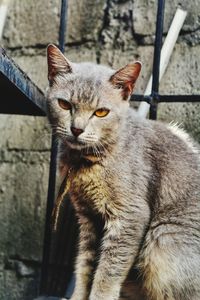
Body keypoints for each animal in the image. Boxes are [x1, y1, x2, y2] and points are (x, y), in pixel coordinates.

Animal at [46, 42, 200, 300]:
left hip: (162, 240)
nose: (77, 129)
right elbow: (85, 267)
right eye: (65, 104)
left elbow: (107, 273)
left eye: (101, 112)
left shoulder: (129, 216)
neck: (85, 163)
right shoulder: (88, 218)